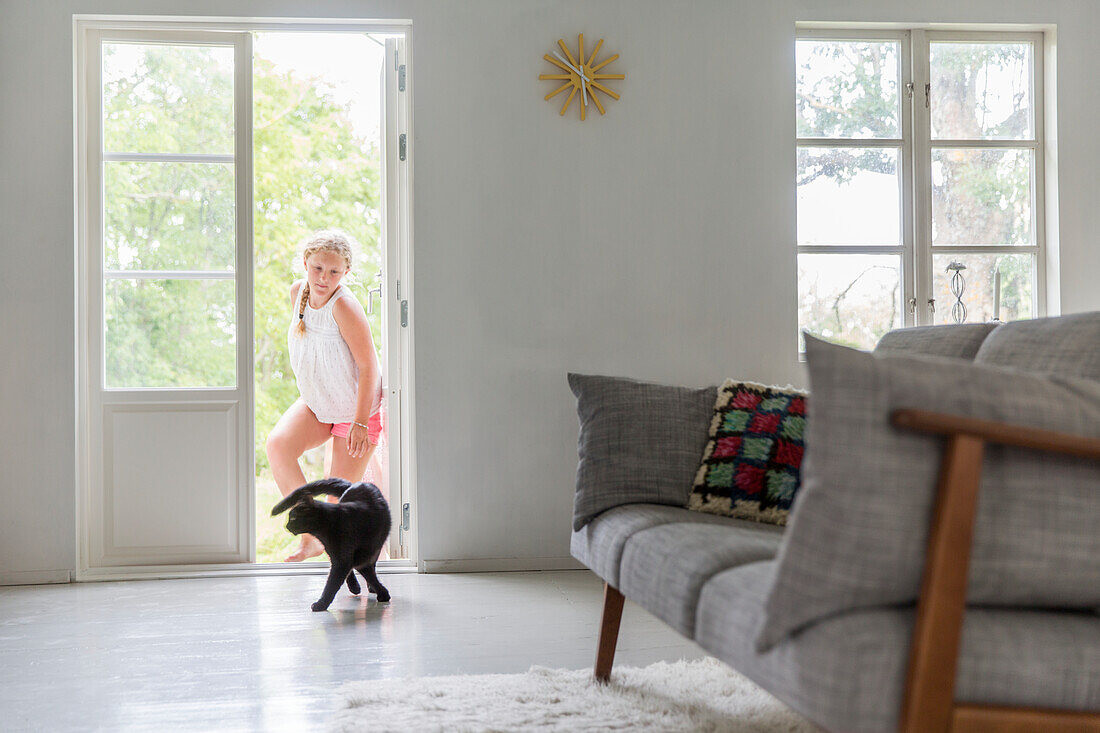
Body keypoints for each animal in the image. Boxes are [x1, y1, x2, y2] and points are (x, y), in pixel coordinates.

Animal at [272, 477, 393, 607]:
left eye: (293, 518)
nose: (286, 526)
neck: (331, 523)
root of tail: (355, 484)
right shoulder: (341, 557)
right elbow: (361, 574)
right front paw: (383, 593)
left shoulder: (351, 559)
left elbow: (332, 584)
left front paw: (321, 604)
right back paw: (355, 587)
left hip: (374, 548)